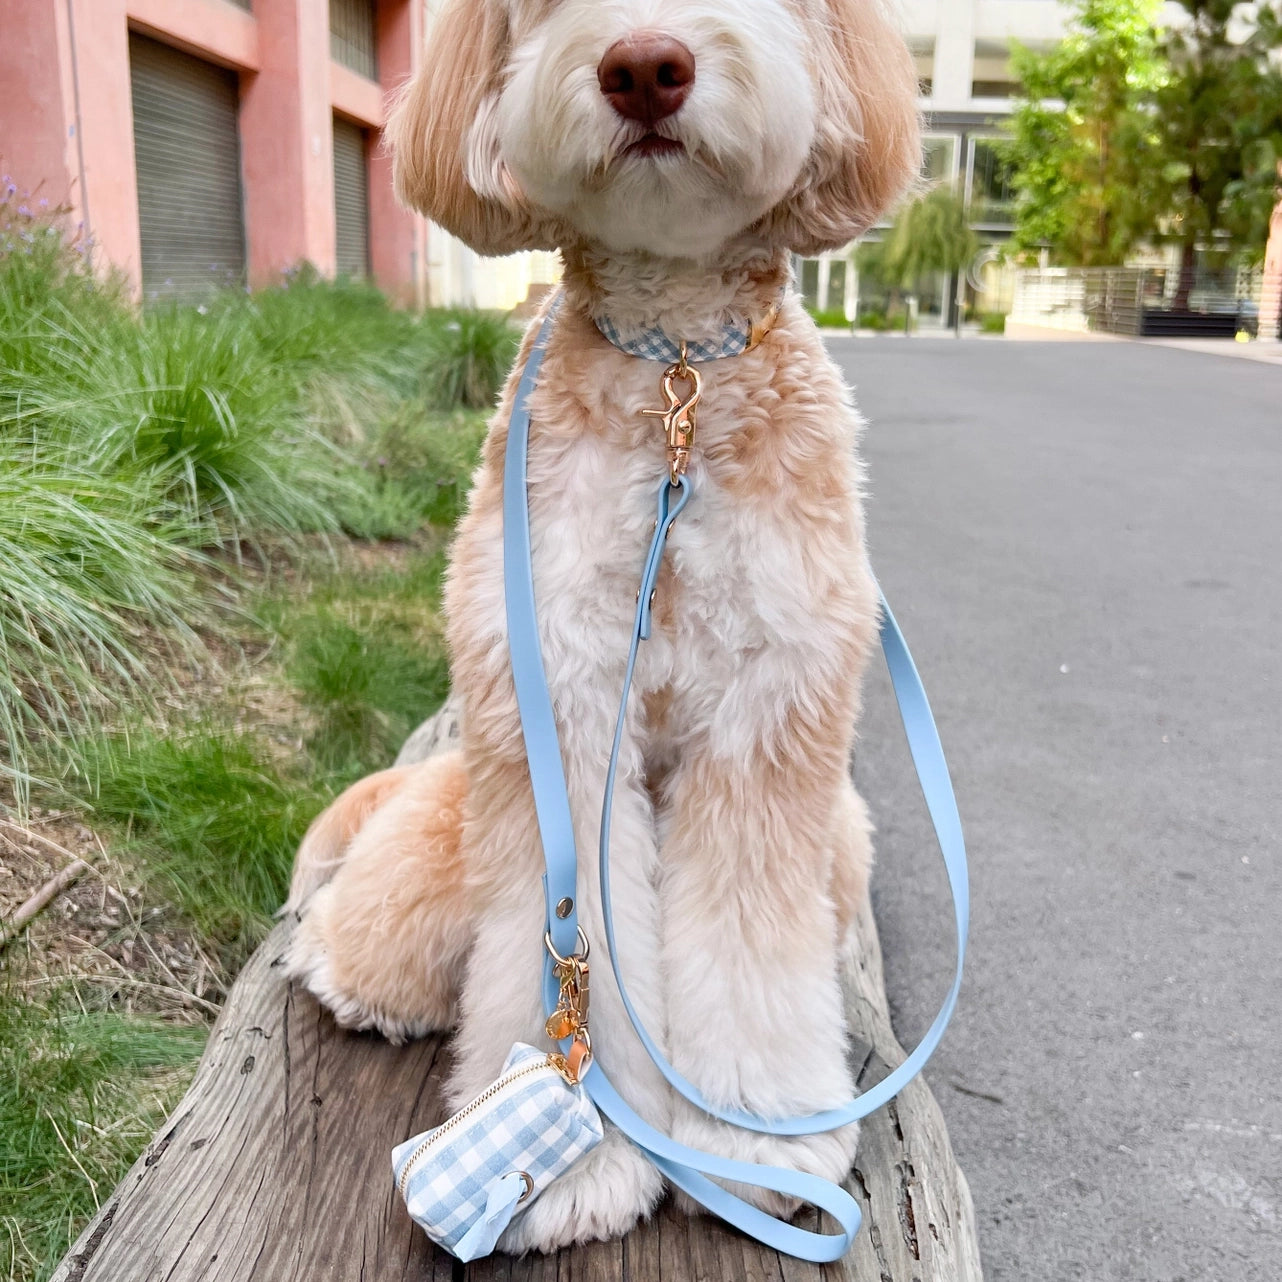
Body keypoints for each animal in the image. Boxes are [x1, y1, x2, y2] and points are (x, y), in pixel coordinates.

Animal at [282, 0, 923, 1251]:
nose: (643, 66)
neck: (675, 379)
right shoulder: (559, 708)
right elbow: (559, 961)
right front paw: (579, 1164)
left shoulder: (769, 718)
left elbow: (749, 943)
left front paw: (751, 1142)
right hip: (449, 819)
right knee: (375, 918)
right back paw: (348, 971)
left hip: (840, 829)